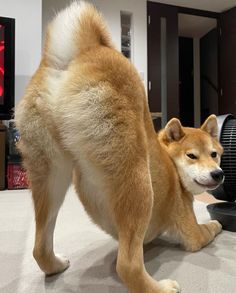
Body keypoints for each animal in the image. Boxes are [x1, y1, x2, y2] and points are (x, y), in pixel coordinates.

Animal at [15, 1, 224, 290]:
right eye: (192, 156)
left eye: (215, 154)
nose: (218, 174)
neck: (173, 167)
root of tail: (81, 54)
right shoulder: (191, 230)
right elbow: (210, 228)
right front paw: (217, 224)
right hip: (138, 183)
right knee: (127, 265)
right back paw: (160, 287)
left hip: (51, 177)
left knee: (39, 248)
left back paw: (56, 265)